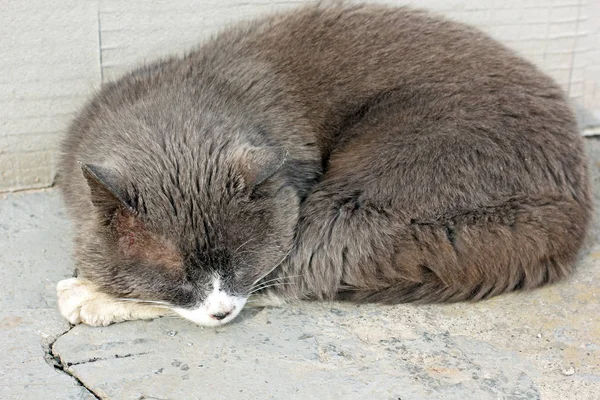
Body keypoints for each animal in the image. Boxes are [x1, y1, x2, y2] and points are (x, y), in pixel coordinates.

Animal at [55, 1, 592, 326]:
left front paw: (96, 290)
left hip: (368, 195)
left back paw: (85, 296)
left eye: (238, 259)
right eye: (176, 270)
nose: (221, 312)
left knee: (311, 266)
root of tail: (574, 210)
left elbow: (267, 276)